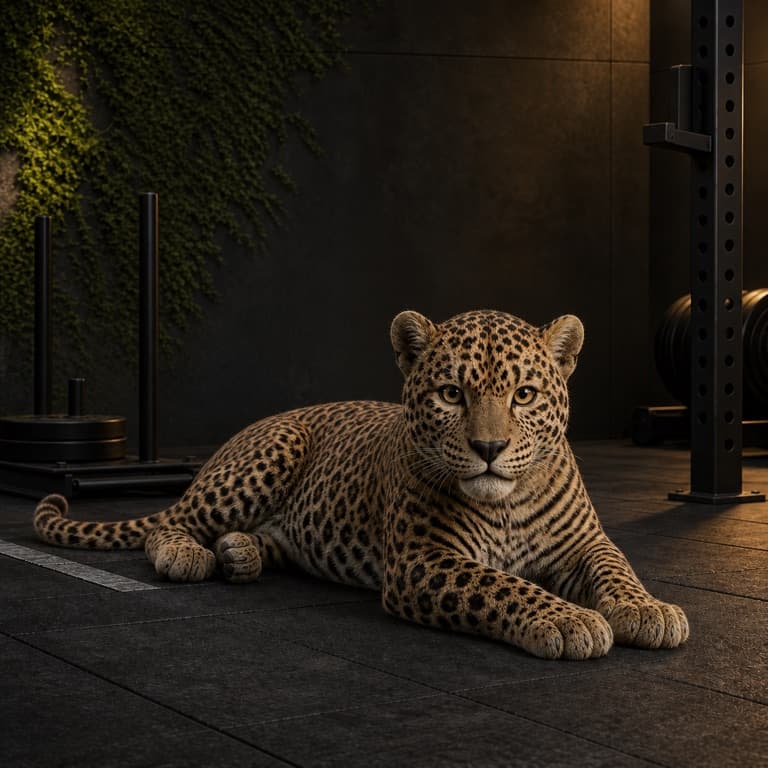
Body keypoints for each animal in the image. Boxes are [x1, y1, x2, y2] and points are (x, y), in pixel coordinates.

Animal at [33, 309, 689, 660]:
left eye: (524, 394)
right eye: (452, 393)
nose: (489, 450)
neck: (506, 504)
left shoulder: (585, 543)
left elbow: (617, 567)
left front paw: (648, 610)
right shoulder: (423, 559)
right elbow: (502, 585)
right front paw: (568, 620)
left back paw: (240, 553)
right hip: (269, 455)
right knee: (168, 523)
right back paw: (189, 554)